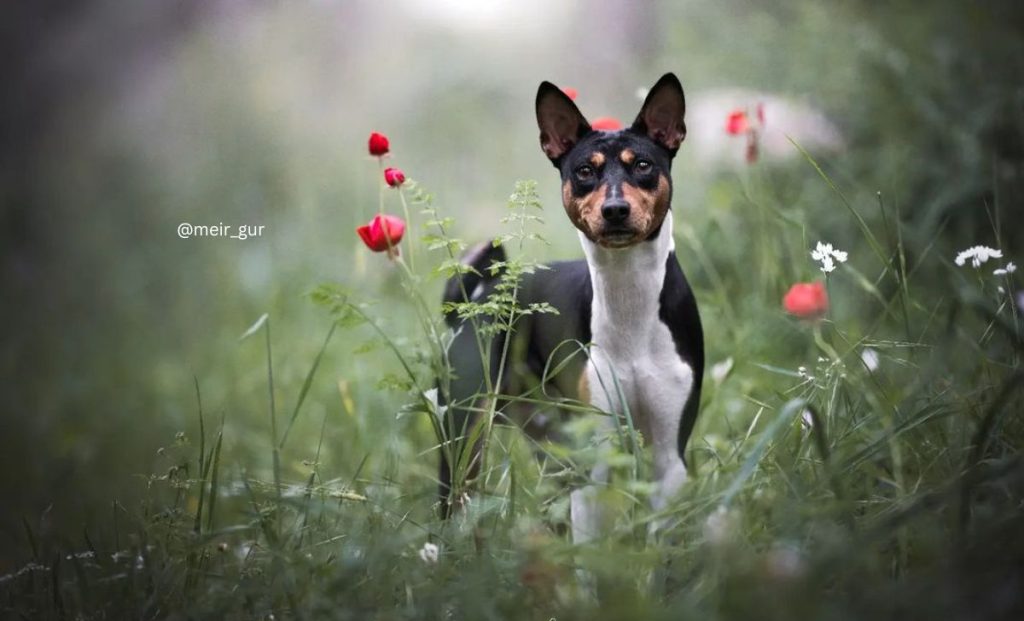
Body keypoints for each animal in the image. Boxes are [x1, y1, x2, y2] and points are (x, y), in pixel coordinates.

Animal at [436, 71, 700, 541]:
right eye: (584, 171)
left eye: (643, 166)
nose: (615, 209)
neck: (630, 310)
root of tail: (483, 289)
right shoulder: (592, 459)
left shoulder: (669, 459)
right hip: (464, 432)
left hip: (548, 442)